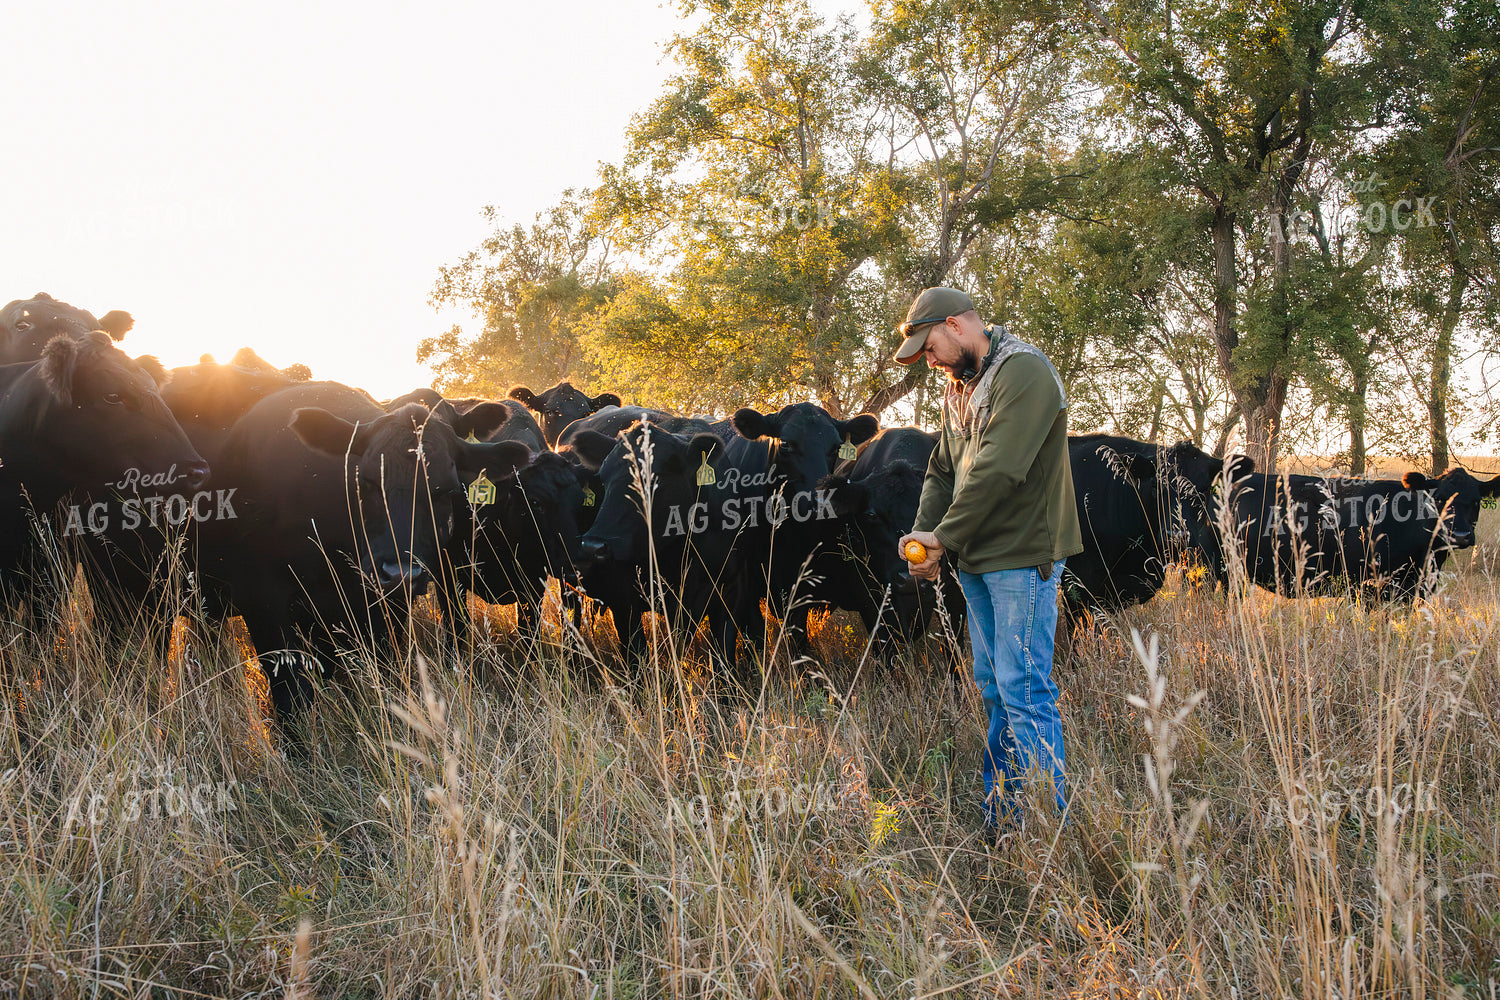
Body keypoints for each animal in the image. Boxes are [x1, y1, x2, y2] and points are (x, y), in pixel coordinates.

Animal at [198, 382, 528, 721]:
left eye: (445, 489)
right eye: (365, 481)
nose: (398, 574)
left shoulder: (381, 609)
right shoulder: (262, 601)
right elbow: (291, 698)